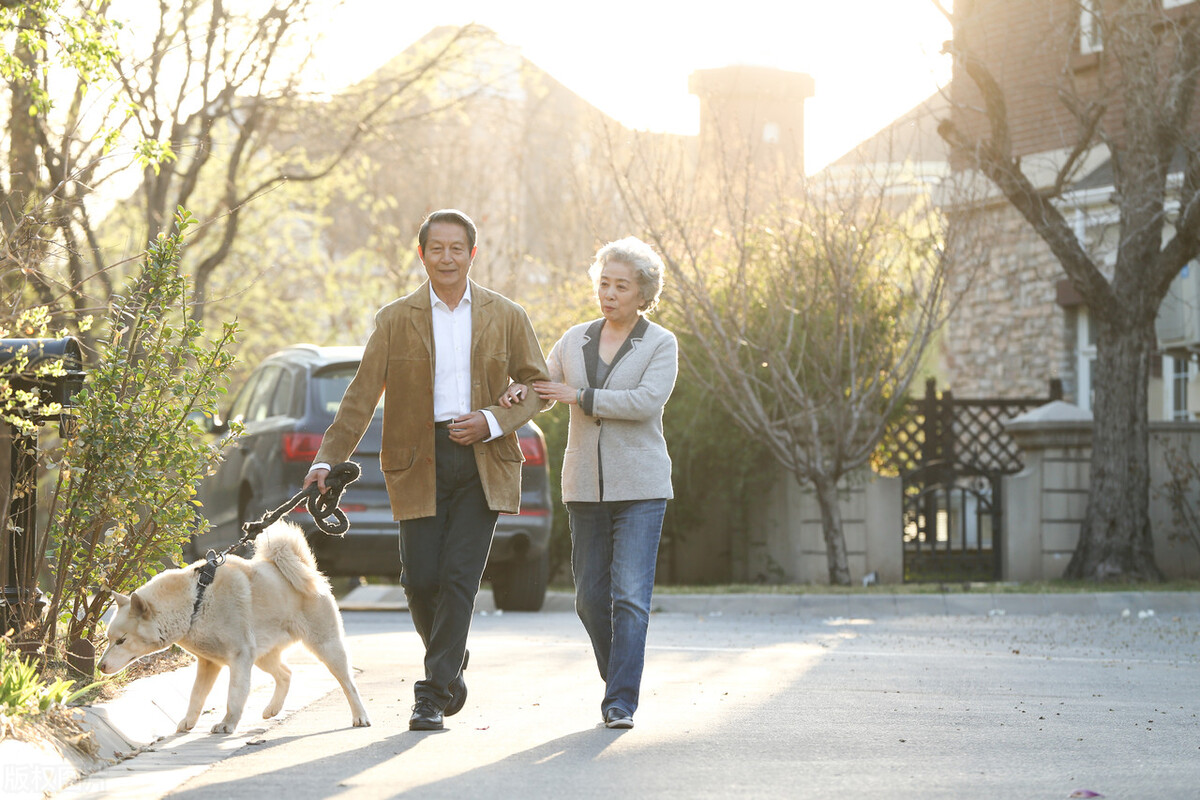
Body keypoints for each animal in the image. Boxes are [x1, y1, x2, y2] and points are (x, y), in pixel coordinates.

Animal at [97, 522, 367, 734]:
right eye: (108, 639)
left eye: (121, 640)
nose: (99, 667)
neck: (196, 600)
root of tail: (307, 569)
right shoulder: (209, 663)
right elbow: (196, 696)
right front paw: (189, 722)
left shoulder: (239, 657)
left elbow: (234, 696)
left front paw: (227, 724)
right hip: (263, 656)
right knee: (286, 673)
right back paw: (273, 709)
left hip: (326, 647)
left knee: (349, 684)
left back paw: (360, 716)